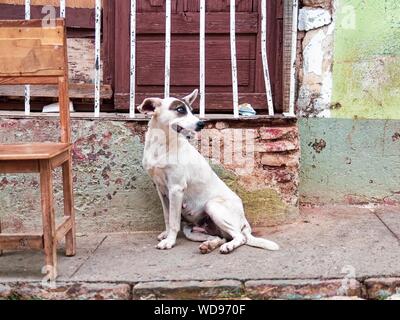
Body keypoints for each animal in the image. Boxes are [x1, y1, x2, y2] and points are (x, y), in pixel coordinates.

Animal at [139, 90, 280, 255]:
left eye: (191, 110)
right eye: (180, 109)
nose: (201, 124)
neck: (161, 145)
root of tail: (244, 220)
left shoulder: (176, 188)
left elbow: (174, 221)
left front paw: (170, 241)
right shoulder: (161, 190)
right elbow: (168, 217)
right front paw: (166, 234)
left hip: (212, 206)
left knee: (240, 237)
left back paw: (228, 246)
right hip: (192, 229)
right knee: (221, 237)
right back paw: (209, 245)